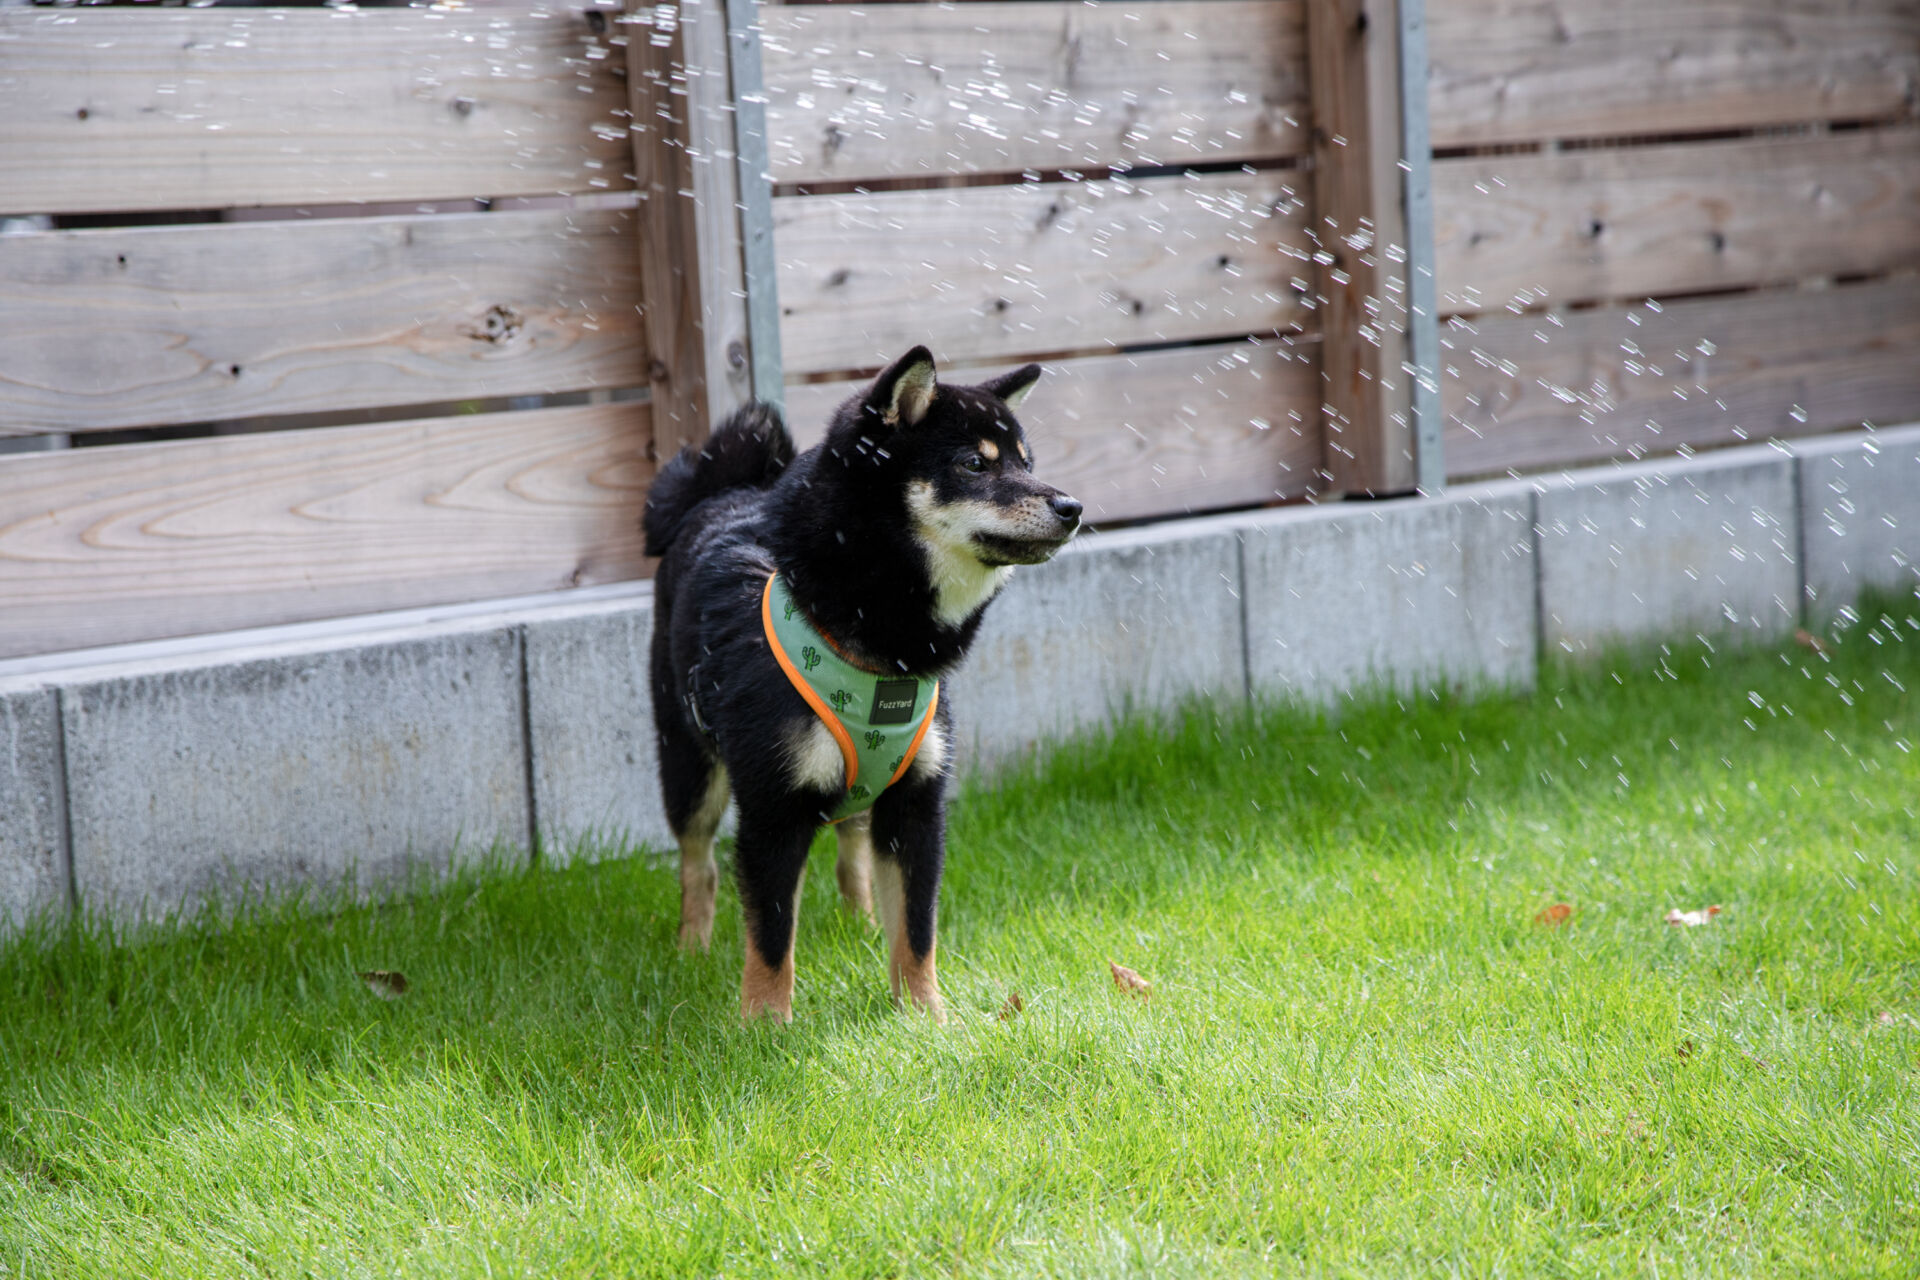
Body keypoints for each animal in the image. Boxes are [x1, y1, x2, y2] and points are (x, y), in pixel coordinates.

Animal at [637, 343, 1075, 1020]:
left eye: (1028, 463)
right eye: (975, 464)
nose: (1071, 507)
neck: (879, 651)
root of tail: (719, 491)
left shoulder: (917, 803)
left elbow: (917, 929)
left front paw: (926, 1015)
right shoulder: (773, 808)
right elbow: (771, 935)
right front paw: (765, 1022)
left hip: (864, 789)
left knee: (852, 855)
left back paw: (861, 928)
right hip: (689, 764)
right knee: (697, 865)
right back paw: (693, 951)